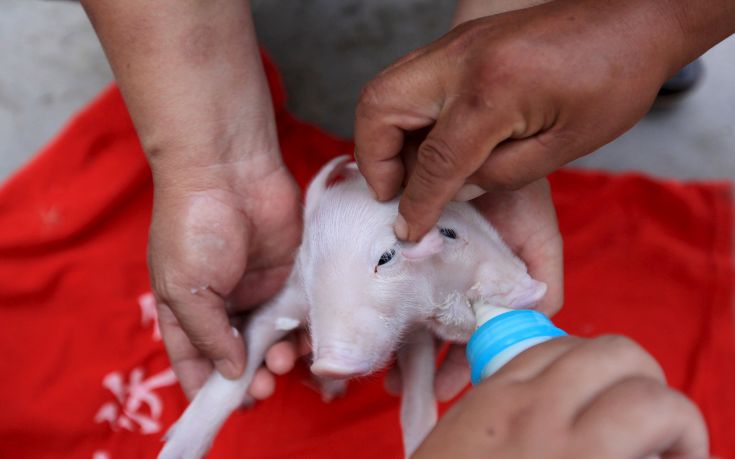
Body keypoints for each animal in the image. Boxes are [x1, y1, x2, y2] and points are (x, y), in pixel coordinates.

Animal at [158, 156, 547, 459]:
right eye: (448, 233)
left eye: (387, 256)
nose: (537, 289)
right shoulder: (294, 292)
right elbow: (235, 368)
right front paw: (172, 451)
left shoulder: (415, 334)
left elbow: (418, 401)